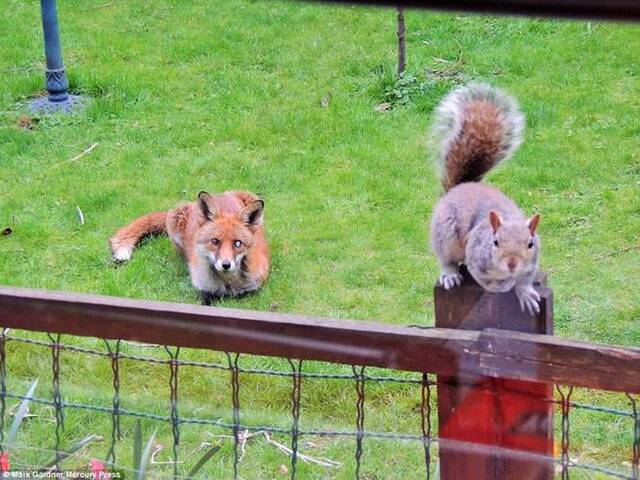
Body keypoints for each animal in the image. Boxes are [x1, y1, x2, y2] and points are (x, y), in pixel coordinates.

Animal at [109, 190, 268, 304]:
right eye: (215, 241)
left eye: (238, 243)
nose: (226, 265)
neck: (227, 283)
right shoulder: (204, 290)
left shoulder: (254, 285)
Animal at [428, 83, 544, 316]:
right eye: (495, 242)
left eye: (529, 244)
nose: (512, 264)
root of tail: (459, 188)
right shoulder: (475, 258)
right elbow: (487, 281)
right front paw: (504, 285)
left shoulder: (532, 263)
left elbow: (525, 280)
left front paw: (525, 292)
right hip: (445, 234)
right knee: (445, 258)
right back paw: (450, 274)